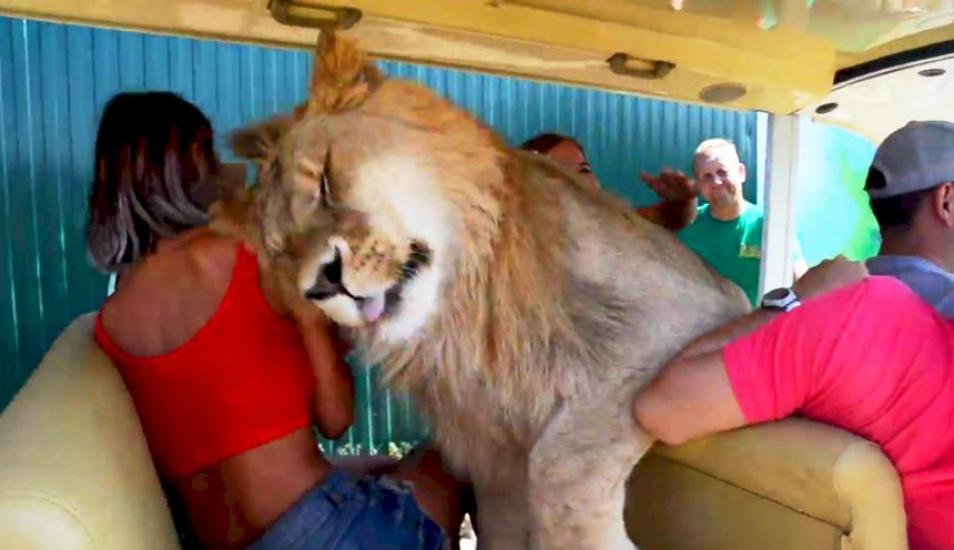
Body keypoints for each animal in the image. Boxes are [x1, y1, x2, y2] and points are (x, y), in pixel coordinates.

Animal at [214, 33, 750, 549]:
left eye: (324, 180)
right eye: (284, 252)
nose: (322, 282)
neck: (468, 311)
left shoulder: (691, 314)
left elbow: (558, 464)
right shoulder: (493, 456)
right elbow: (503, 523)